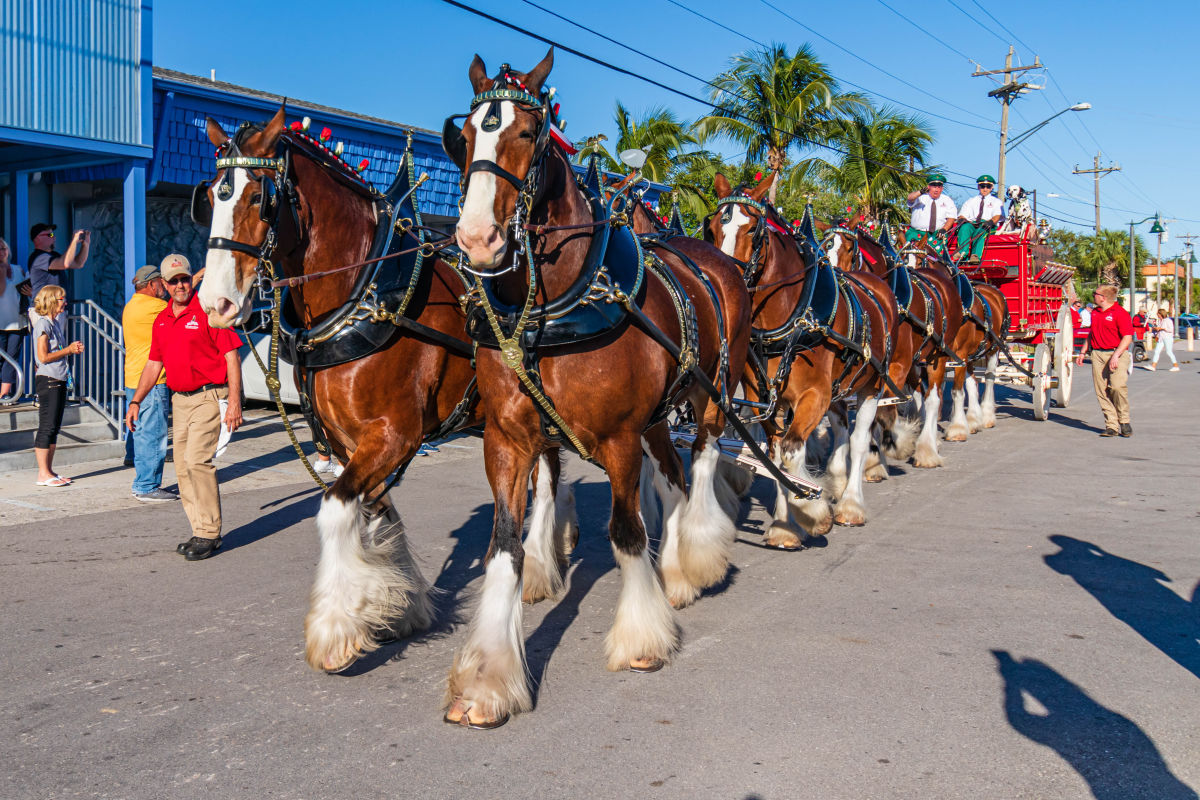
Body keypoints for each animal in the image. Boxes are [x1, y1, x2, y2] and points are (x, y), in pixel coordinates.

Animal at [192, 107, 576, 676]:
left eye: (258, 198)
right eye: (210, 198)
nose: (216, 305)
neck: (362, 292)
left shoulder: (394, 434)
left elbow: (335, 509)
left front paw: (335, 631)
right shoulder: (349, 441)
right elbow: (377, 514)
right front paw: (400, 604)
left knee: (550, 480)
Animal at [441, 47, 748, 729]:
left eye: (527, 133)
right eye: (465, 136)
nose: (477, 241)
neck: (553, 307)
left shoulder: (617, 437)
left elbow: (626, 531)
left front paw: (640, 639)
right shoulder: (508, 438)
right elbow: (505, 545)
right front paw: (488, 678)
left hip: (712, 389)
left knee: (703, 457)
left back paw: (696, 557)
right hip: (658, 415)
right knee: (673, 475)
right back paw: (676, 568)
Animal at [700, 172, 902, 542]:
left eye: (752, 228)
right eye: (712, 227)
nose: (722, 277)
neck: (792, 314)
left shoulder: (814, 395)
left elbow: (793, 451)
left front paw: (811, 511)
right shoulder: (765, 400)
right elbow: (775, 456)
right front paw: (784, 526)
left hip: (872, 384)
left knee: (859, 438)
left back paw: (851, 504)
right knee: (841, 429)